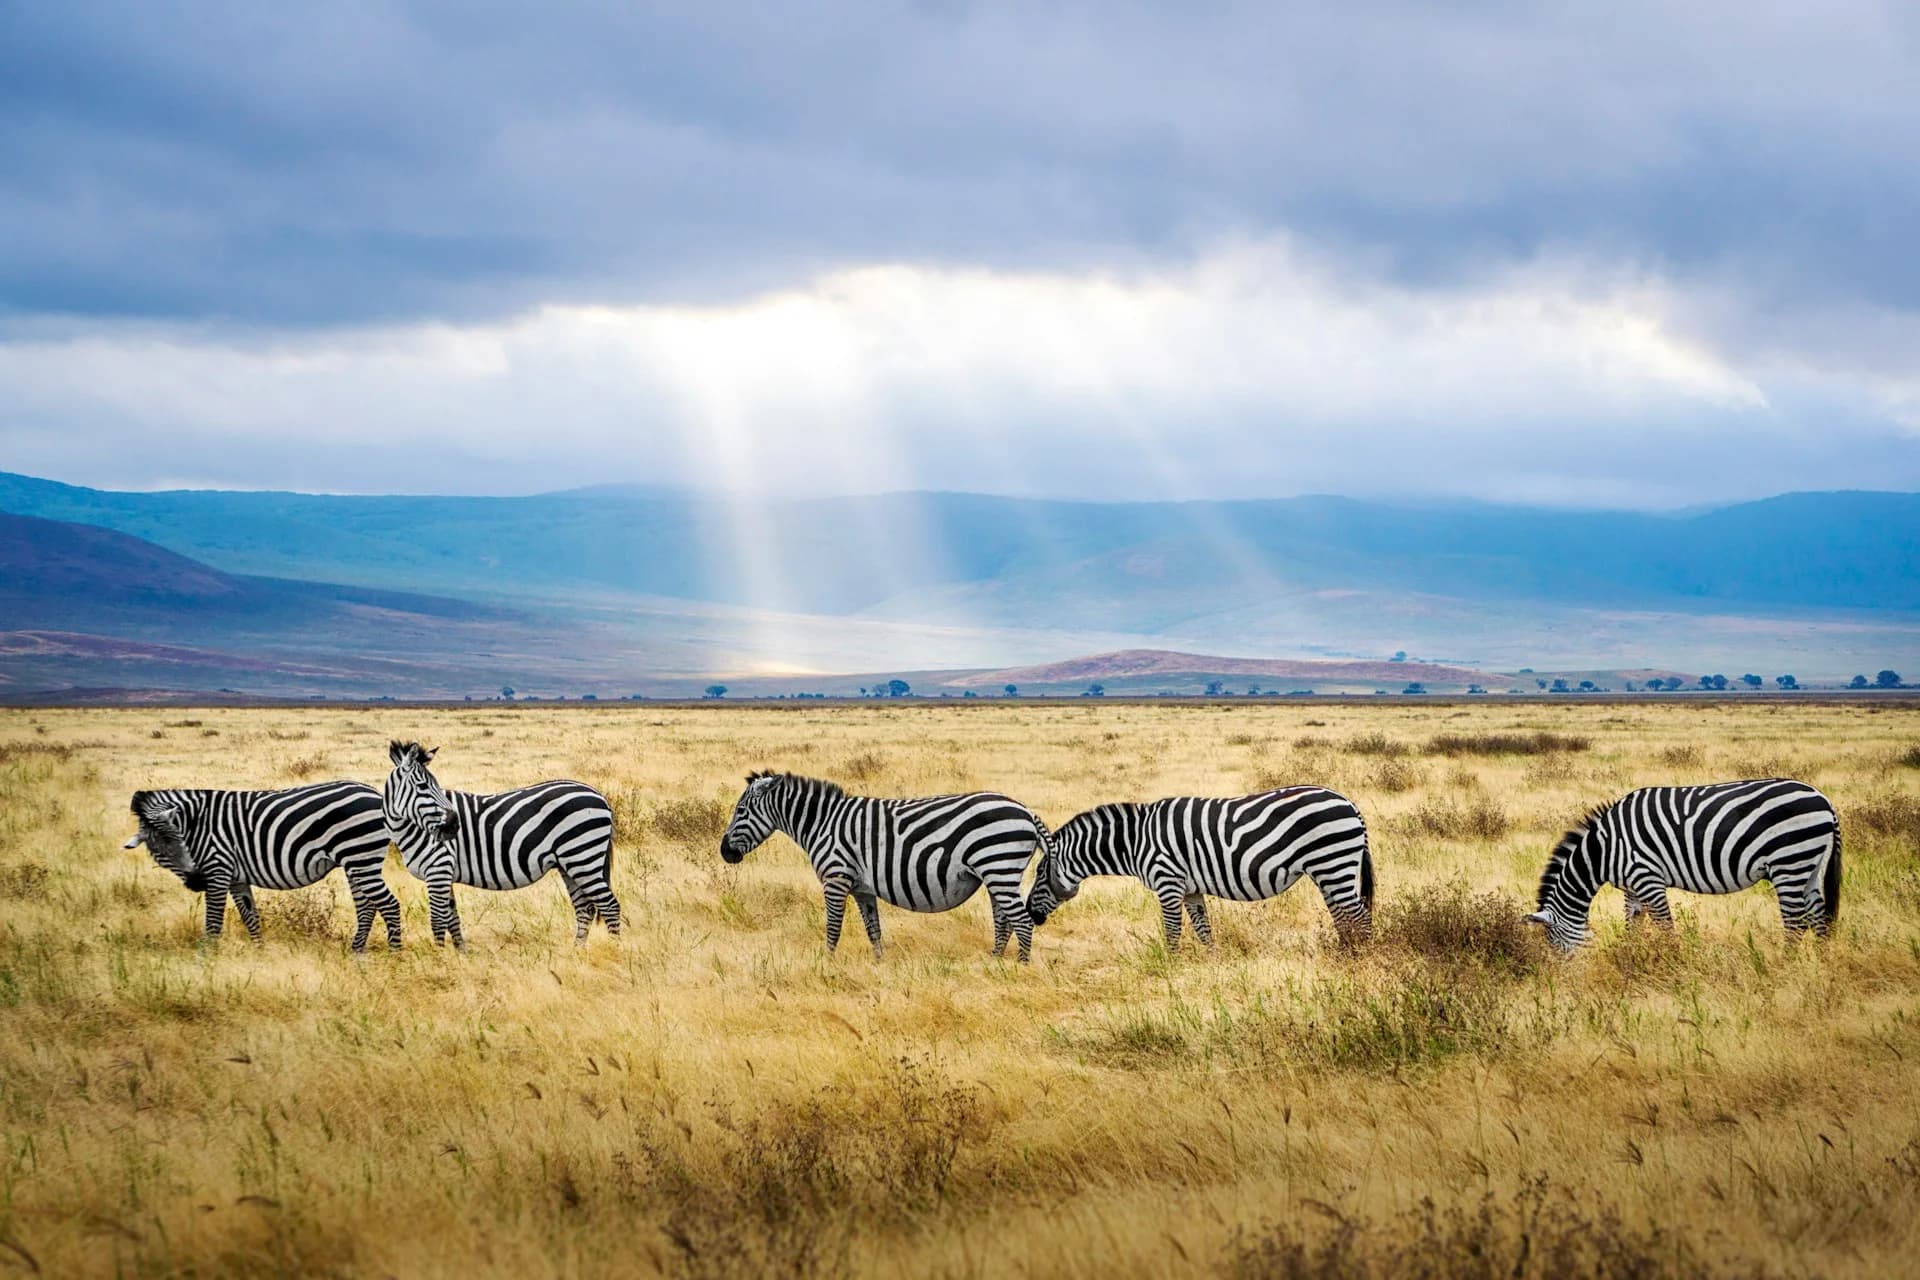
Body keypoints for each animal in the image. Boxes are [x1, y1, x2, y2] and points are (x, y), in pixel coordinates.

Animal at [122, 782, 401, 951]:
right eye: (159, 852)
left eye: (181, 841)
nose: (196, 882)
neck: (197, 824)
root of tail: (375, 793)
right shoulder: (236, 878)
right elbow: (250, 916)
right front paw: (259, 952)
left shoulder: (218, 869)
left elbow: (213, 922)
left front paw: (207, 959)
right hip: (356, 862)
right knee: (366, 907)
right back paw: (357, 952)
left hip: (361, 857)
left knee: (389, 904)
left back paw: (395, 954)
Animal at [385, 740, 625, 951]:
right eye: (423, 786)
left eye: (434, 786)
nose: (454, 825)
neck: (414, 828)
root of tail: (599, 795)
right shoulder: (444, 873)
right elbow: (452, 919)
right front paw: (461, 955)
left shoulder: (438, 869)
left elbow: (438, 920)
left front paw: (440, 958)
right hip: (570, 864)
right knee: (585, 908)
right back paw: (577, 952)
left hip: (583, 857)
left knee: (610, 906)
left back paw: (614, 950)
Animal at [721, 771, 1052, 959]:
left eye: (740, 811)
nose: (725, 853)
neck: (822, 823)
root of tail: (1025, 810)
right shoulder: (862, 888)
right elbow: (874, 930)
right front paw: (878, 966)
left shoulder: (836, 878)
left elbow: (833, 928)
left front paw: (827, 965)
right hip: (998, 873)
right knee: (1004, 920)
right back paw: (994, 962)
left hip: (998, 866)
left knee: (1021, 921)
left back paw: (1020, 969)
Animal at [1029, 782, 1374, 951]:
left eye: (1039, 874)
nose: (1032, 915)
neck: (1135, 841)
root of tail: (1349, 803)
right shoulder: (1190, 889)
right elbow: (1203, 929)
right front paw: (1212, 965)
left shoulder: (1167, 882)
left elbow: (1172, 932)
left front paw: (1170, 968)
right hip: (1328, 870)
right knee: (1343, 916)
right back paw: (1345, 955)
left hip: (1333, 862)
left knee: (1359, 916)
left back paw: (1362, 960)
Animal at [1528, 775, 1843, 955]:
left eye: (1554, 943)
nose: (1565, 979)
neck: (1604, 850)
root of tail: (1823, 799)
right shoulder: (1632, 887)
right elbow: (1634, 925)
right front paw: (1631, 958)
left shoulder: (1647, 878)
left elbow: (1665, 926)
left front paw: (1674, 964)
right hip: (1809, 865)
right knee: (1818, 917)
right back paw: (1822, 967)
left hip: (1788, 861)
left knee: (1795, 923)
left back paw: (1782, 968)